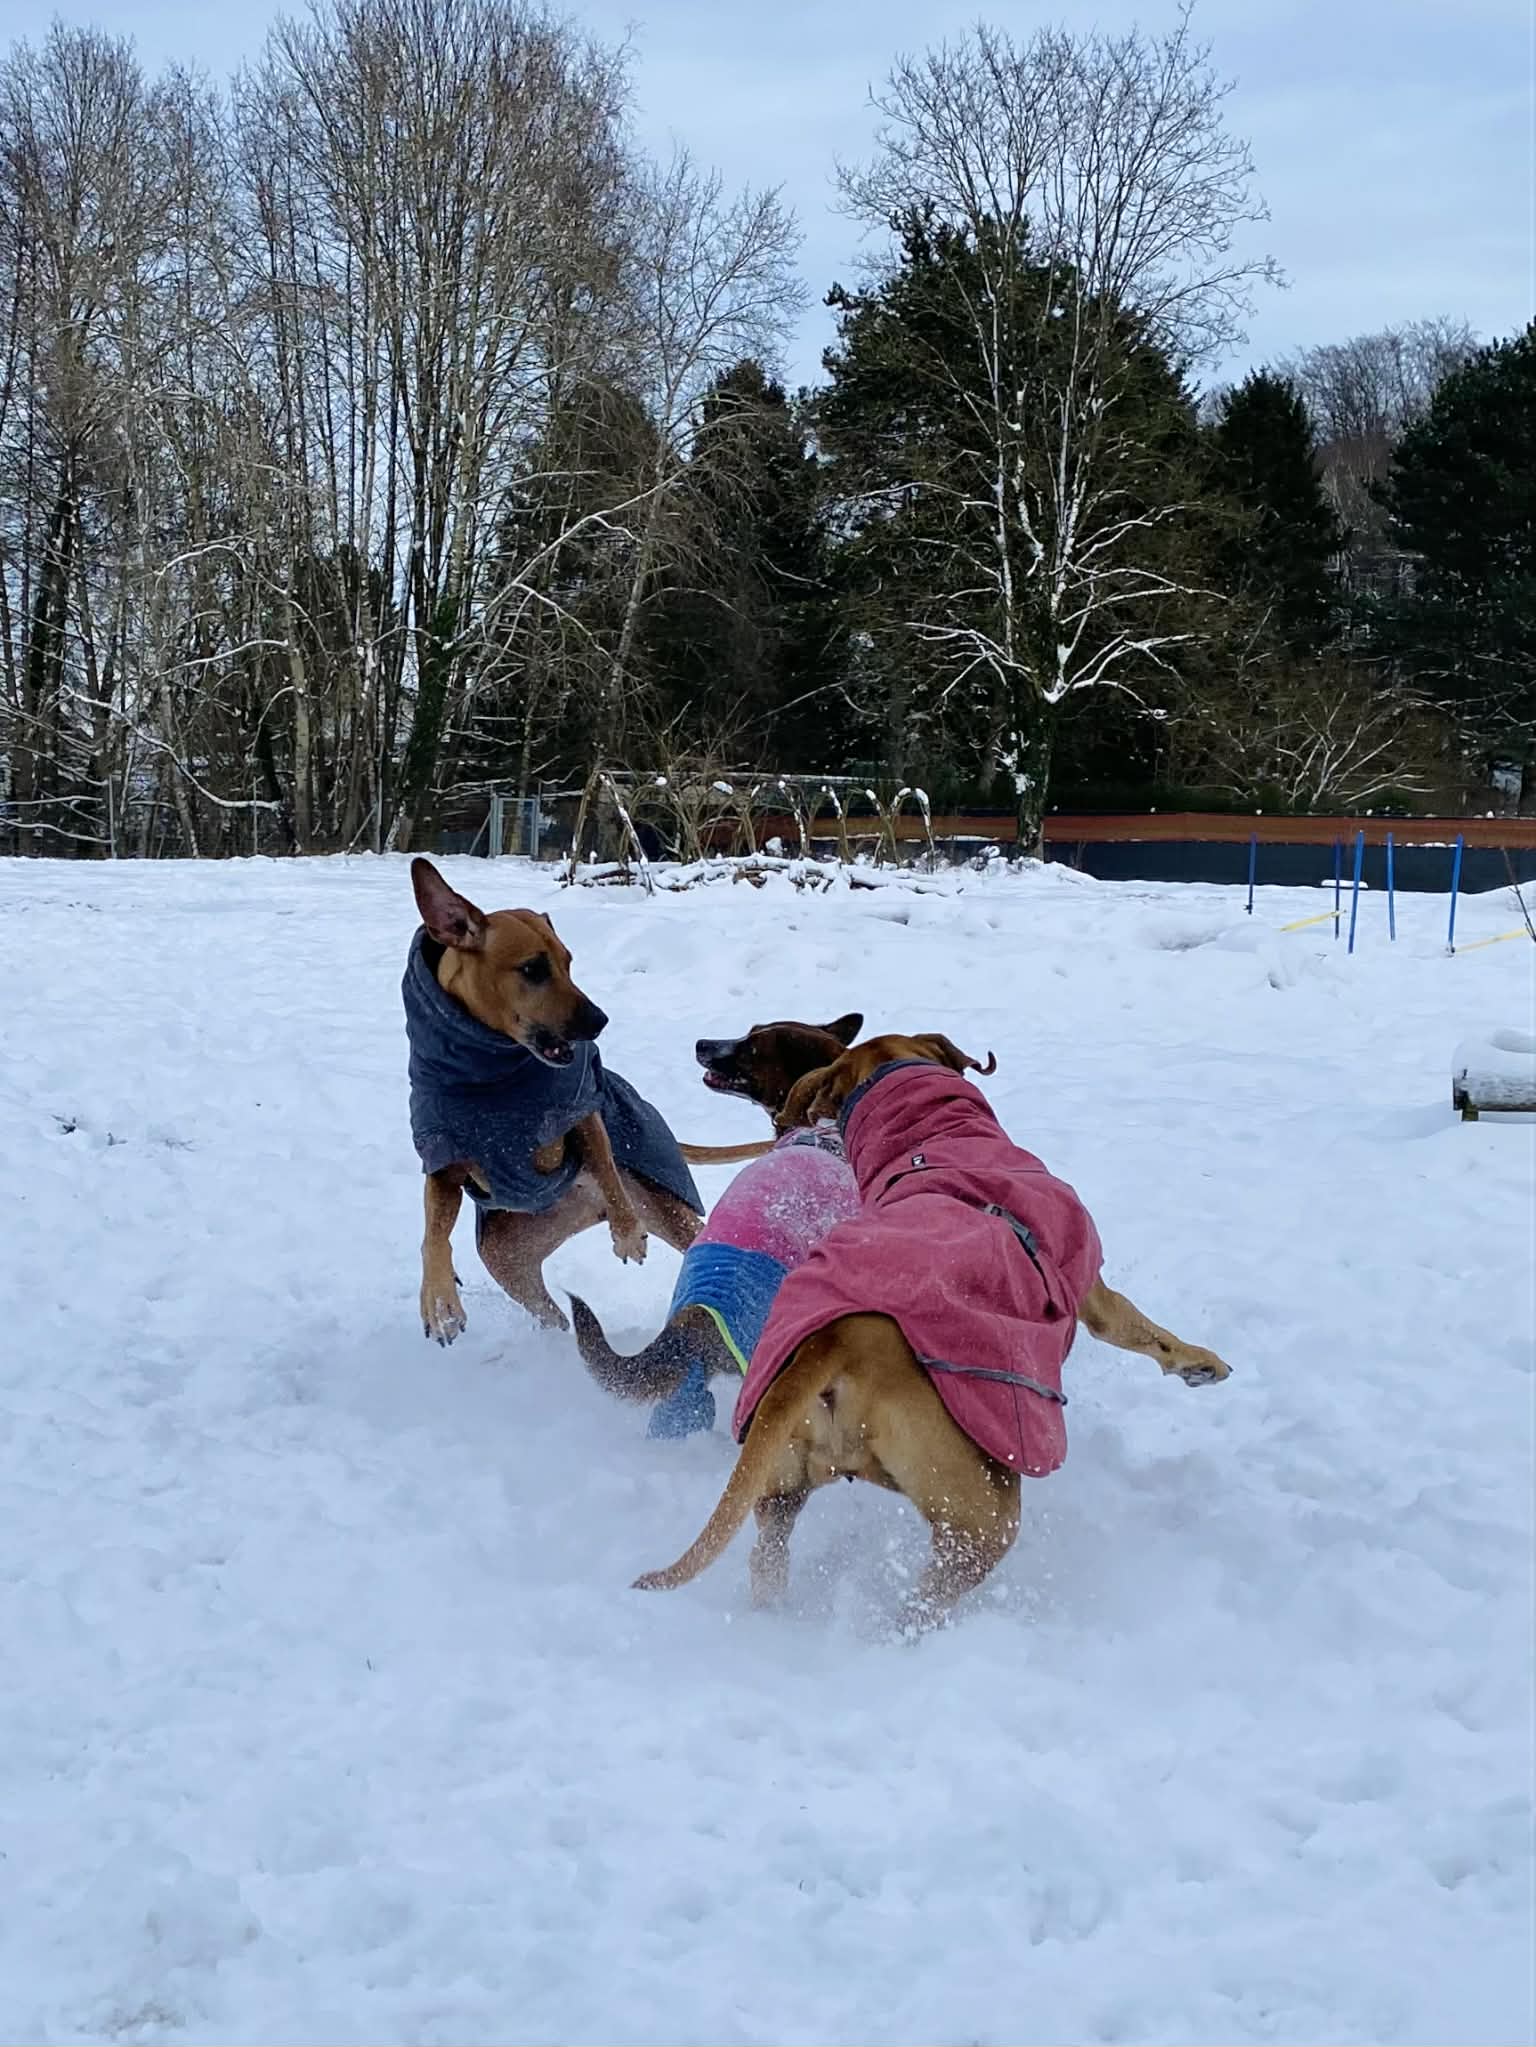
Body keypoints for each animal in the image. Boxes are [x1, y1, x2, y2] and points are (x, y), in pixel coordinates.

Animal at [403, 858, 703, 1342]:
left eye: (568, 963)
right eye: (533, 969)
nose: (600, 1021)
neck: (487, 1076)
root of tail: (581, 1211)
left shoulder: (578, 1108)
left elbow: (604, 1161)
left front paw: (626, 1232)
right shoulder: (443, 1154)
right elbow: (433, 1235)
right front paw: (439, 1301)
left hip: (667, 1205)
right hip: (508, 1257)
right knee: (550, 1311)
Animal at [632, 1032, 1232, 1630]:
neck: (929, 1139)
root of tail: (832, 1344)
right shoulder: (1090, 1289)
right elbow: (1139, 1328)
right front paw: (1200, 1363)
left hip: (781, 1480)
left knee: (768, 1552)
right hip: (979, 1510)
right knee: (925, 1599)